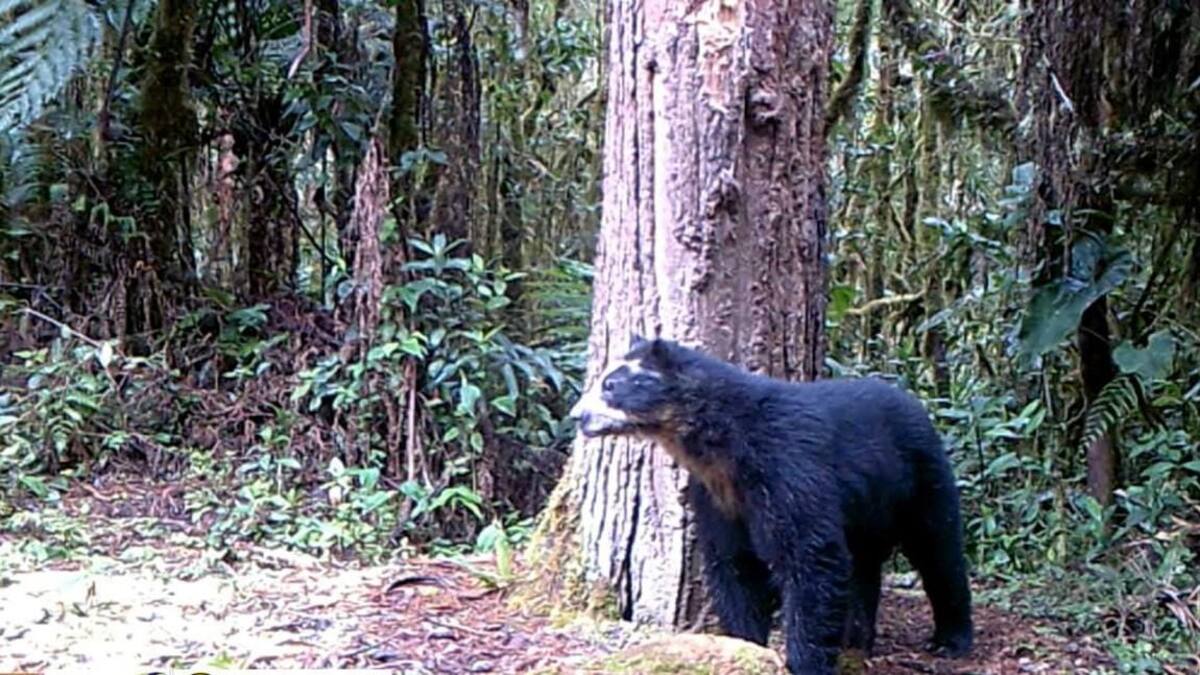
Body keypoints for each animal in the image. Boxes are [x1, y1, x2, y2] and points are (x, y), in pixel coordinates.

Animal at [569, 336, 973, 674]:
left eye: (611, 384)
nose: (577, 416)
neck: (723, 448)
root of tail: (913, 402)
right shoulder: (716, 494)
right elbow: (732, 563)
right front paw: (745, 644)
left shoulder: (789, 469)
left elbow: (809, 557)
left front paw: (804, 660)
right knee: (864, 566)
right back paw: (857, 639)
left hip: (921, 478)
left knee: (938, 549)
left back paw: (950, 638)